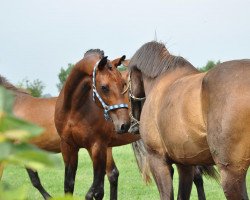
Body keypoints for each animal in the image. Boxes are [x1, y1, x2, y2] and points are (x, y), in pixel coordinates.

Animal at [0, 50, 140, 200]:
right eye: (104, 87)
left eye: (123, 84)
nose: (124, 124)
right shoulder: (68, 147)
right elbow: (67, 184)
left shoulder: (97, 146)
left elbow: (94, 190)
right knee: (111, 175)